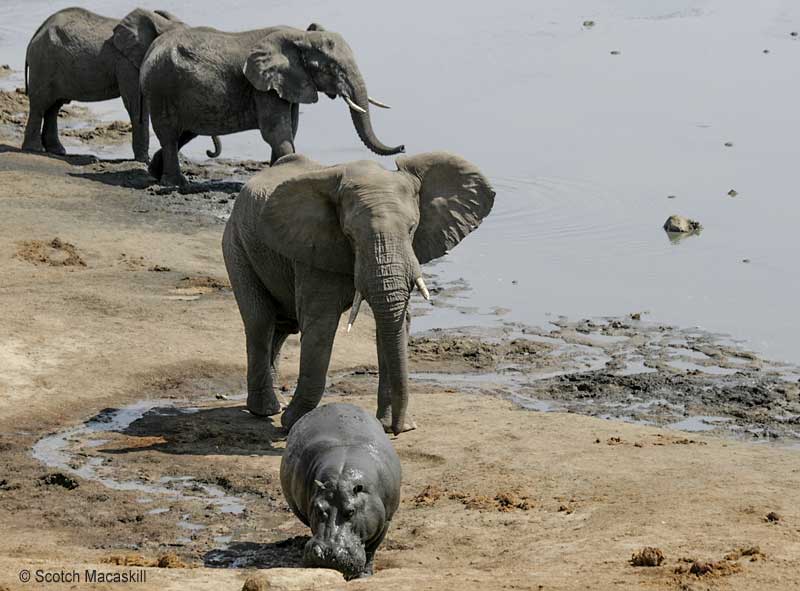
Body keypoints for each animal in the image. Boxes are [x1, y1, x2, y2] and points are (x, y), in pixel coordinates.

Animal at [21, 7, 219, 164]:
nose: (209, 152)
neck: (161, 24)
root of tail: (35, 34)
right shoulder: (127, 64)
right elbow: (137, 106)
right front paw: (144, 161)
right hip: (43, 63)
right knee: (40, 105)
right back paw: (34, 150)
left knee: (54, 106)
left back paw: (58, 151)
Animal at [141, 23, 404, 186]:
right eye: (330, 68)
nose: (402, 147)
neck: (300, 37)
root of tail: (151, 49)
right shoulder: (263, 88)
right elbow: (277, 132)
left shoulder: (288, 85)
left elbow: (290, 129)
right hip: (160, 88)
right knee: (169, 134)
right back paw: (175, 183)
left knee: (184, 133)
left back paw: (156, 173)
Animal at [220, 153, 494, 438]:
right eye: (350, 235)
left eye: (411, 229)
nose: (398, 431)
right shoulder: (313, 251)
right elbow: (320, 327)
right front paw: (294, 422)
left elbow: (394, 324)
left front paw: (390, 425)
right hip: (236, 243)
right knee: (260, 322)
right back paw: (267, 410)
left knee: (283, 326)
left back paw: (276, 406)